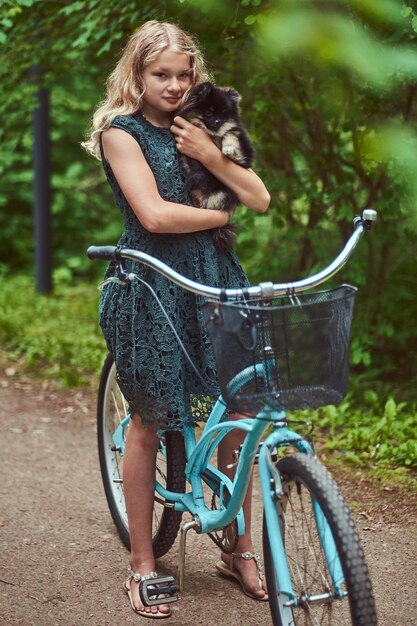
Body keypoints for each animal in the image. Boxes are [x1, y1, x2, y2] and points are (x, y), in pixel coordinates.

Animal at [178, 81, 255, 250]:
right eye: (208, 112)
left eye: (223, 114)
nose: (218, 121)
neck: (211, 135)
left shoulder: (244, 158)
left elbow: (230, 133)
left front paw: (228, 148)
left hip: (224, 193)